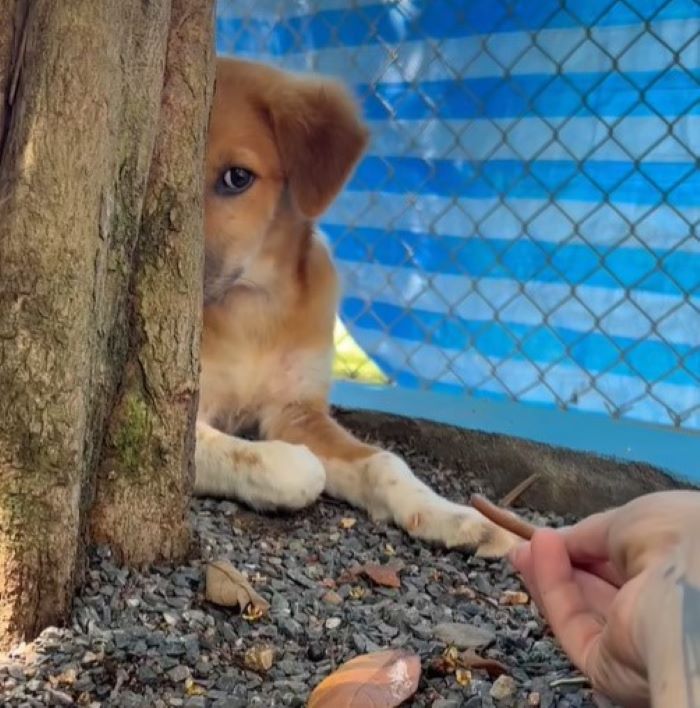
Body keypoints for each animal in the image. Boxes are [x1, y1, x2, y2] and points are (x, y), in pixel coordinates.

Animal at [194, 59, 516, 560]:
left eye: (237, 178)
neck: (253, 310)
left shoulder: (298, 410)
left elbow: (385, 461)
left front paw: (457, 517)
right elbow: (284, 466)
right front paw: (296, 466)